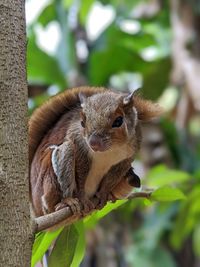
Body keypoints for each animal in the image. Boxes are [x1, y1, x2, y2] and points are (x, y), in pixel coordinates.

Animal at [28, 87, 162, 219]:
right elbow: (80, 175)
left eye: (118, 121)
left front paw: (103, 194)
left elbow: (111, 179)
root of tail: (35, 208)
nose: (94, 143)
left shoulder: (126, 159)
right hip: (51, 174)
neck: (110, 150)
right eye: (82, 122)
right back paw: (66, 202)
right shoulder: (79, 146)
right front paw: (82, 198)